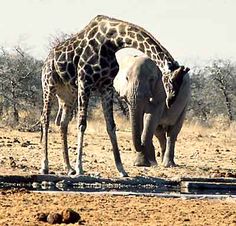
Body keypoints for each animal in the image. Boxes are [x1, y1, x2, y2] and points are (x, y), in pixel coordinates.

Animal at [40, 14, 188, 177]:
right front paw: (80, 168)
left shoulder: (106, 86)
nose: (171, 101)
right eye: (170, 80)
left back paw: (68, 168)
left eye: (181, 83)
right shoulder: (85, 81)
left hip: (67, 94)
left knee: (62, 123)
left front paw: (121, 169)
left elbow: (111, 126)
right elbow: (82, 124)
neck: (111, 42)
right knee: (45, 120)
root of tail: (47, 58)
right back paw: (45, 166)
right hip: (49, 85)